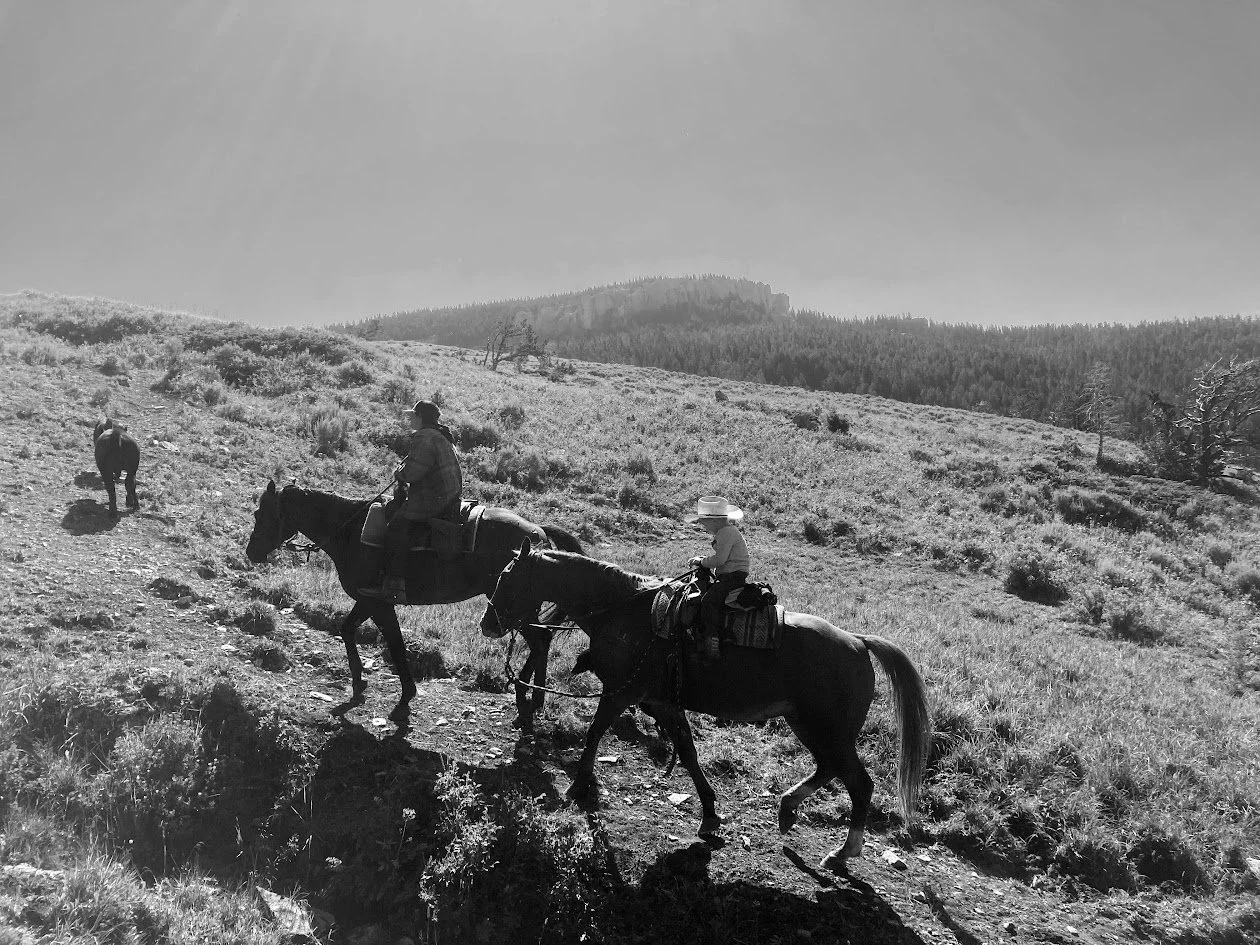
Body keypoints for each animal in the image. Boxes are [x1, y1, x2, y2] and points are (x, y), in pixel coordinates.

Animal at [245, 481, 585, 725]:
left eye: (262, 515)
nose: (251, 552)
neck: (351, 531)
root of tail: (538, 533)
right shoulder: (367, 601)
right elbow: (347, 629)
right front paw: (359, 682)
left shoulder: (380, 604)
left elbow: (395, 644)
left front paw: (405, 697)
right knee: (543, 639)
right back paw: (532, 696)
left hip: (512, 608)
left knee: (540, 639)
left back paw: (526, 694)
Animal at [479, 539, 931, 871]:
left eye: (507, 577)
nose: (487, 624)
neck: (626, 610)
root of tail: (858, 643)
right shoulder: (662, 702)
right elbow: (688, 752)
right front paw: (710, 812)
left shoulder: (620, 693)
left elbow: (594, 734)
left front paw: (579, 785)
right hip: (807, 724)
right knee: (829, 769)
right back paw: (788, 806)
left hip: (829, 731)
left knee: (859, 783)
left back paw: (842, 852)